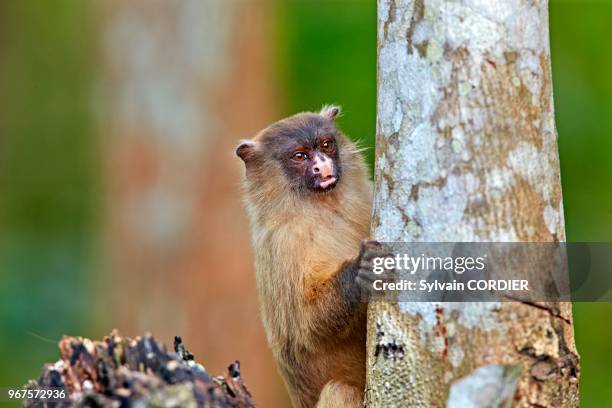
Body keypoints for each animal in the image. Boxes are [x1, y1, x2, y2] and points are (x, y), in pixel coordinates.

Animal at [235, 106, 388, 408]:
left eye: (326, 145)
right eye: (300, 156)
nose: (323, 166)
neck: (322, 208)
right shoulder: (284, 243)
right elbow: (306, 327)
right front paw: (359, 273)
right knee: (339, 391)